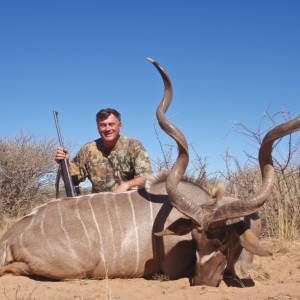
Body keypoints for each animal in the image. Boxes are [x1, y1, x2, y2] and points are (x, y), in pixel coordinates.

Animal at [0, 58, 300, 286]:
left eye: (225, 240)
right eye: (194, 239)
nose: (202, 282)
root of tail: (10, 235)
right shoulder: (170, 269)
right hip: (73, 269)